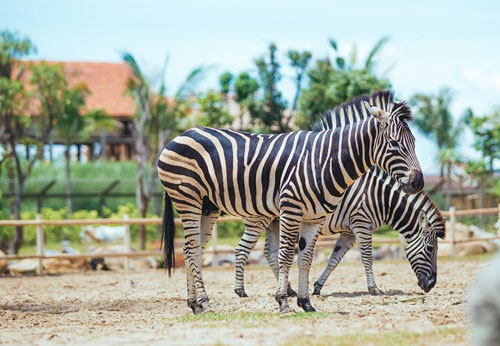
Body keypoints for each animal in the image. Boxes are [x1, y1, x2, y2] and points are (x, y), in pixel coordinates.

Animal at [158, 90, 424, 314]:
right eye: (394, 144)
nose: (417, 183)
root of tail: (180, 135)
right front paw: (283, 302)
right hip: (188, 200)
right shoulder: (292, 209)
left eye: (414, 143)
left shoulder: (315, 217)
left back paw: (195, 303)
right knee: (193, 249)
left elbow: (305, 259)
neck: (324, 160)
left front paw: (306, 302)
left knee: (193, 250)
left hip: (208, 206)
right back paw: (203, 303)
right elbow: (286, 255)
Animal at [234, 166, 446, 298]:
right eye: (430, 249)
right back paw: (241, 291)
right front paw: (374, 289)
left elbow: (334, 260)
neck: (381, 200)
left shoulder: (348, 232)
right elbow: (367, 258)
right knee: (242, 249)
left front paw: (317, 287)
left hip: (274, 221)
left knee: (269, 253)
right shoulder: (362, 224)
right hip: (259, 219)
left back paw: (290, 290)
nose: (431, 285)